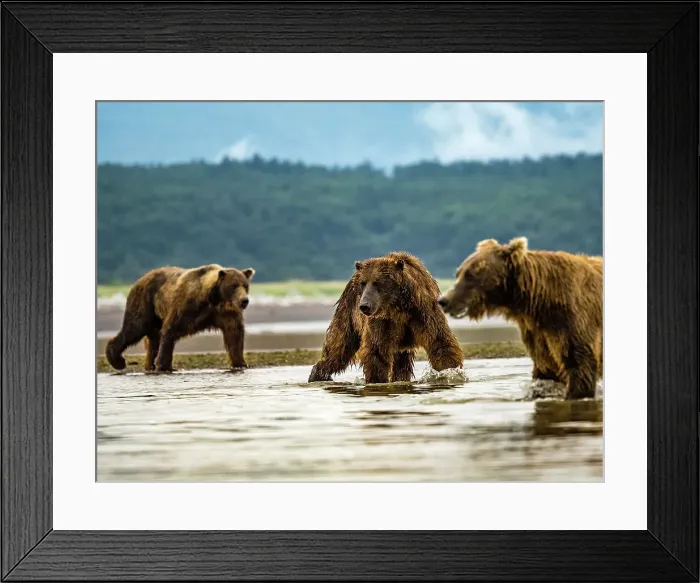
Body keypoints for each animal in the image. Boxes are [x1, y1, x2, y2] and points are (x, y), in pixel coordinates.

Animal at [105, 264, 255, 372]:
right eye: (233, 285)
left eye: (246, 285)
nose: (244, 301)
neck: (214, 298)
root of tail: (141, 278)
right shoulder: (186, 306)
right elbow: (170, 330)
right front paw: (164, 365)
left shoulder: (225, 312)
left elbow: (234, 334)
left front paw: (240, 363)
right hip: (145, 302)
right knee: (134, 327)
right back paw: (117, 360)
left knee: (152, 338)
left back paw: (149, 365)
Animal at [308, 251, 464, 384]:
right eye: (363, 282)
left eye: (377, 282)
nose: (364, 306)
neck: (398, 308)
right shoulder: (382, 322)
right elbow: (376, 351)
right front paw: (377, 380)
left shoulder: (423, 313)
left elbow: (440, 342)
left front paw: (450, 373)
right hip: (348, 314)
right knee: (338, 349)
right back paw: (318, 375)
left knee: (401, 363)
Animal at [437, 237, 603, 400]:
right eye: (459, 273)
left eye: (471, 274)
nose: (444, 300)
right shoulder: (539, 334)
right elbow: (547, 370)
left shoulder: (573, 321)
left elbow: (580, 366)